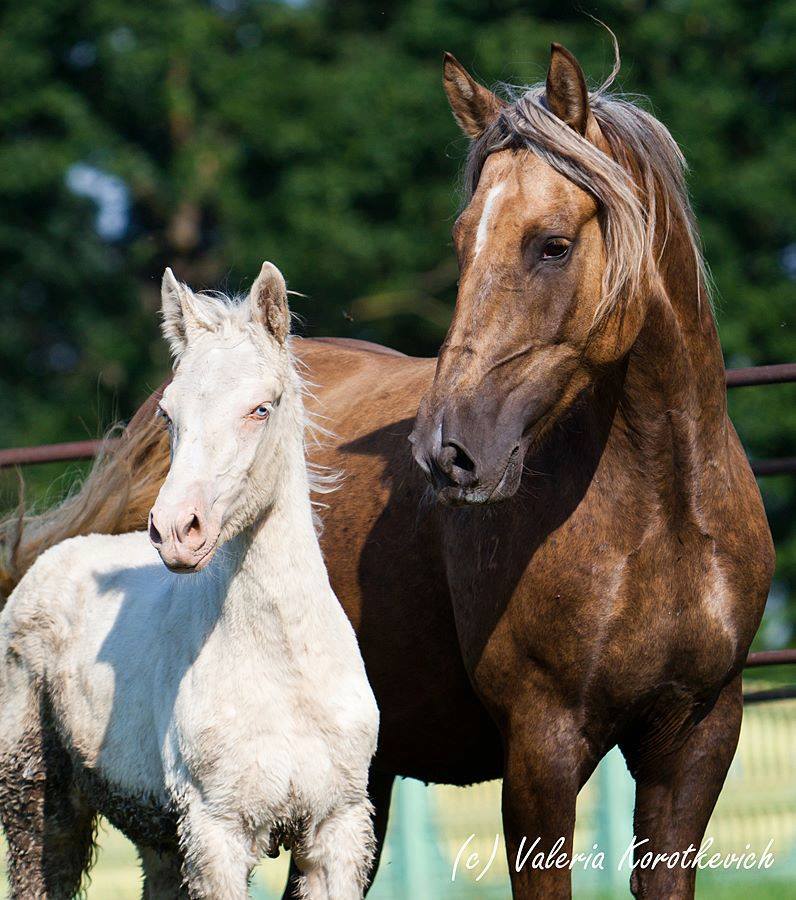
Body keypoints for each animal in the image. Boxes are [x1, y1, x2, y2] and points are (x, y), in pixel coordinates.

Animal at [0, 264, 380, 896]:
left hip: (157, 837)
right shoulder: (216, 831)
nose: (177, 530)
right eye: (168, 414)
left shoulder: (337, 827)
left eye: (261, 408)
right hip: (37, 797)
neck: (284, 670)